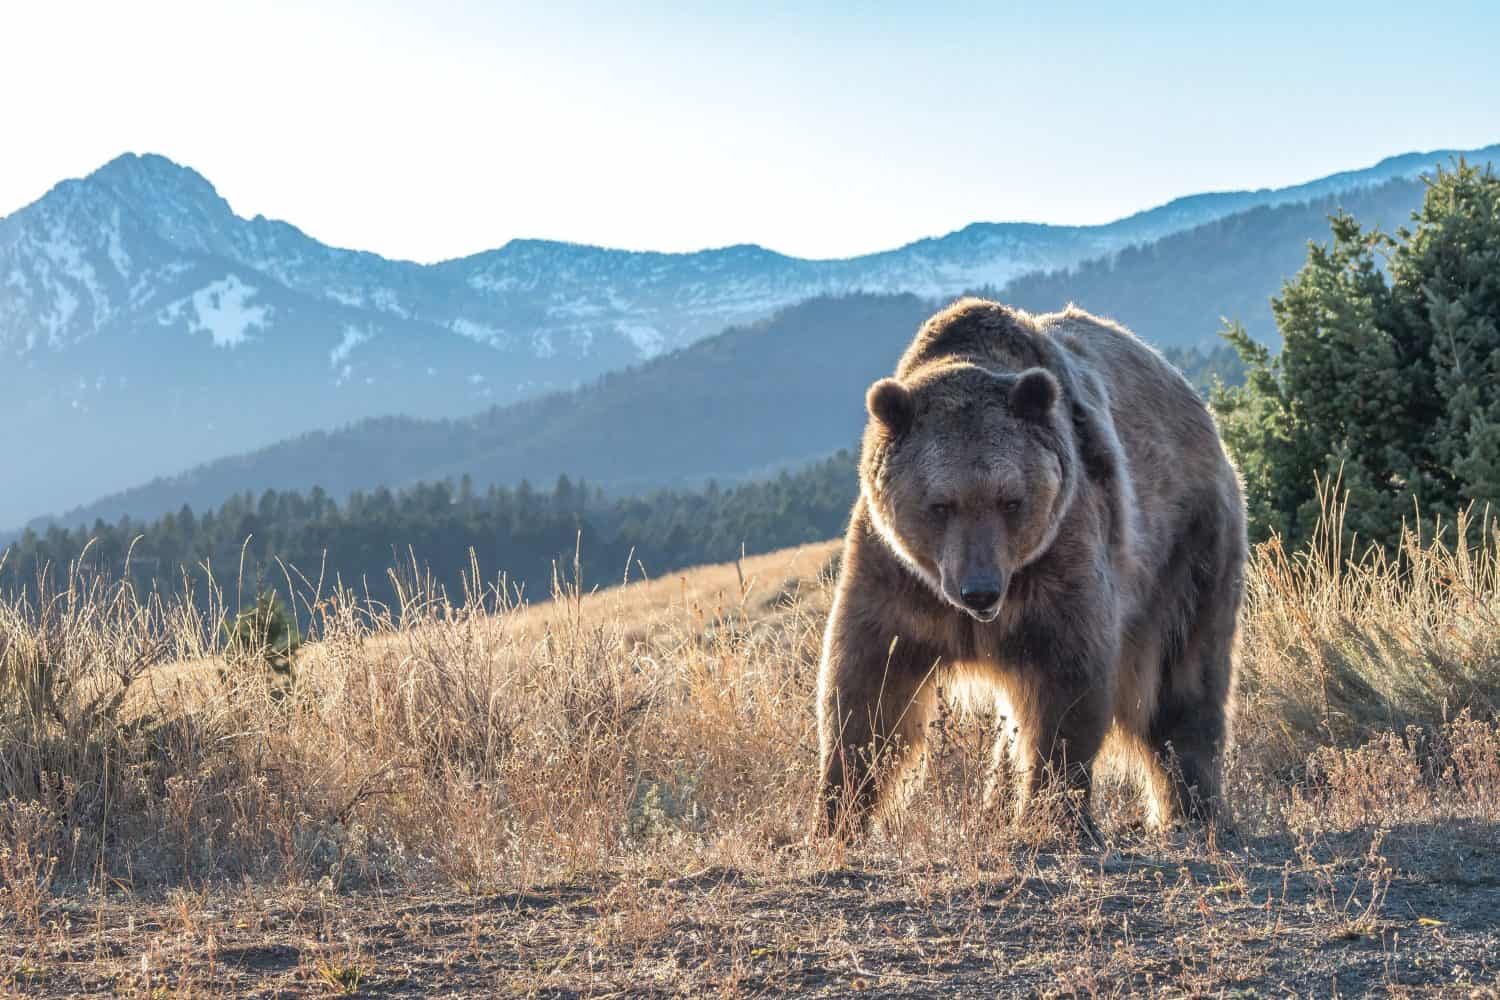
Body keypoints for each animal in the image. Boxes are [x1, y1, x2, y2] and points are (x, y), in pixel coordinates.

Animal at [815, 297, 1247, 840]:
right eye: (940, 504)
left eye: (1011, 500)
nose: (979, 590)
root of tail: (1194, 402)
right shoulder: (897, 576)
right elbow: (866, 693)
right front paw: (834, 817)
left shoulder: (1060, 559)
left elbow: (1066, 686)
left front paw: (1054, 815)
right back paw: (995, 805)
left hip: (1187, 550)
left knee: (1183, 681)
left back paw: (1192, 807)